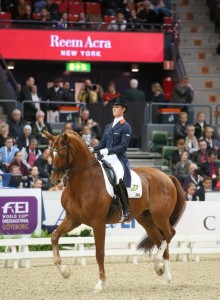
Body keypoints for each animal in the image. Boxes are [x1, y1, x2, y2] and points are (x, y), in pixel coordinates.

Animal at [43, 131, 186, 290]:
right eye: (51, 153)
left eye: (62, 154)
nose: (55, 180)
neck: (85, 180)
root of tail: (167, 176)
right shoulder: (73, 218)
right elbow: (54, 236)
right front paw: (64, 271)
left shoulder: (98, 222)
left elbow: (99, 252)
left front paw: (100, 283)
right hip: (147, 220)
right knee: (161, 240)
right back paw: (164, 274)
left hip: (160, 217)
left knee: (169, 233)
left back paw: (159, 265)